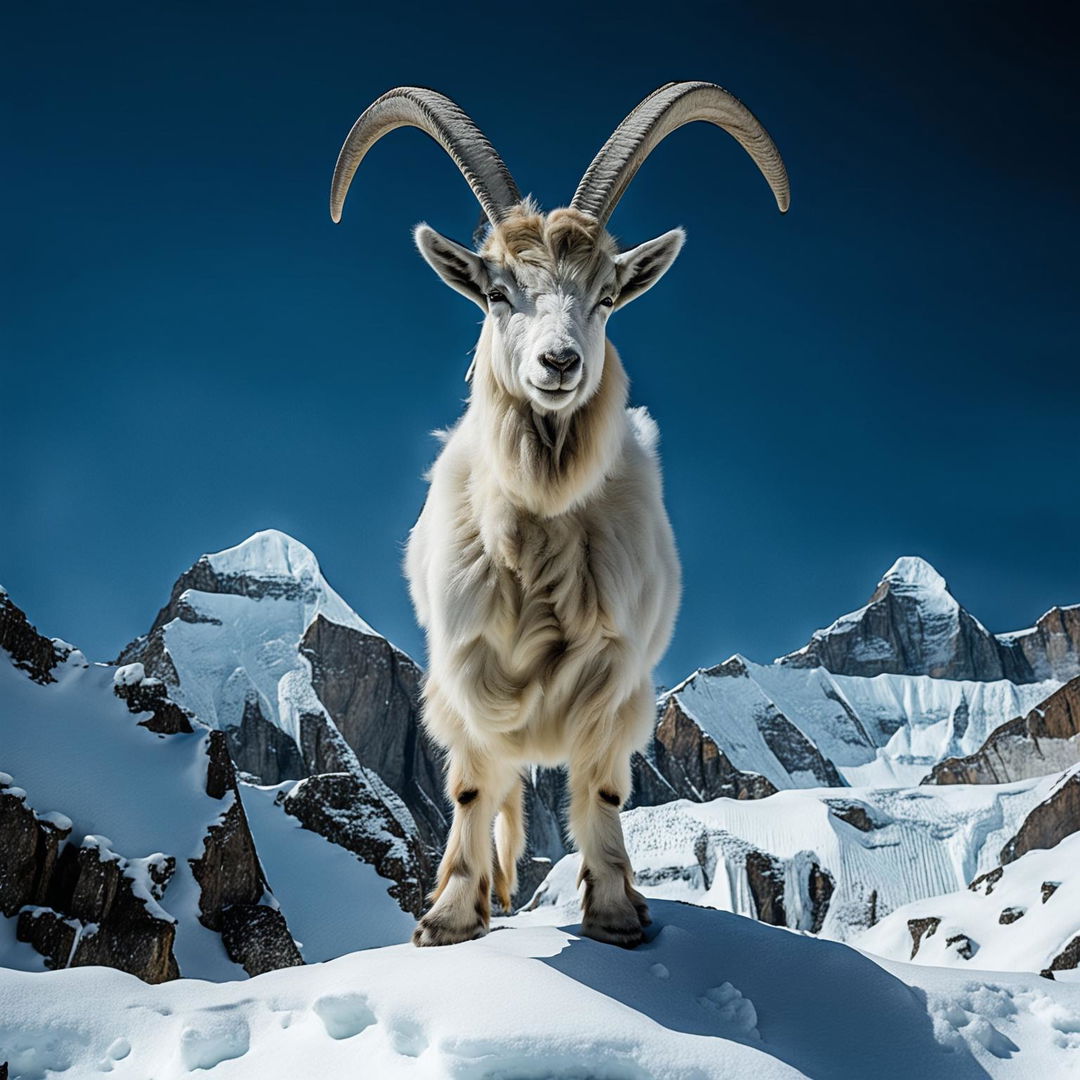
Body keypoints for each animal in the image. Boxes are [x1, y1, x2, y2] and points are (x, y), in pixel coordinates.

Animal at [324, 82, 790, 946]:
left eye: (605, 297)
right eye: (496, 291)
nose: (559, 362)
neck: (537, 535)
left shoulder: (617, 681)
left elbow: (600, 790)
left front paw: (615, 912)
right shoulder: (463, 672)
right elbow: (473, 788)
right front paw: (451, 915)